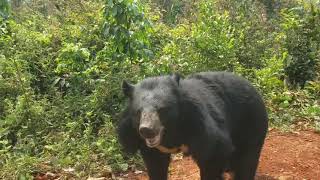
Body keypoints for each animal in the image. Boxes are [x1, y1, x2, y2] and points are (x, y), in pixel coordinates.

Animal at [117, 71, 268, 180]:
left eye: (161, 110)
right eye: (138, 112)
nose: (147, 130)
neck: (170, 132)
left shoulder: (200, 126)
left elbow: (214, 151)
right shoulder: (149, 147)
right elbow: (156, 167)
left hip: (251, 123)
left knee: (246, 162)